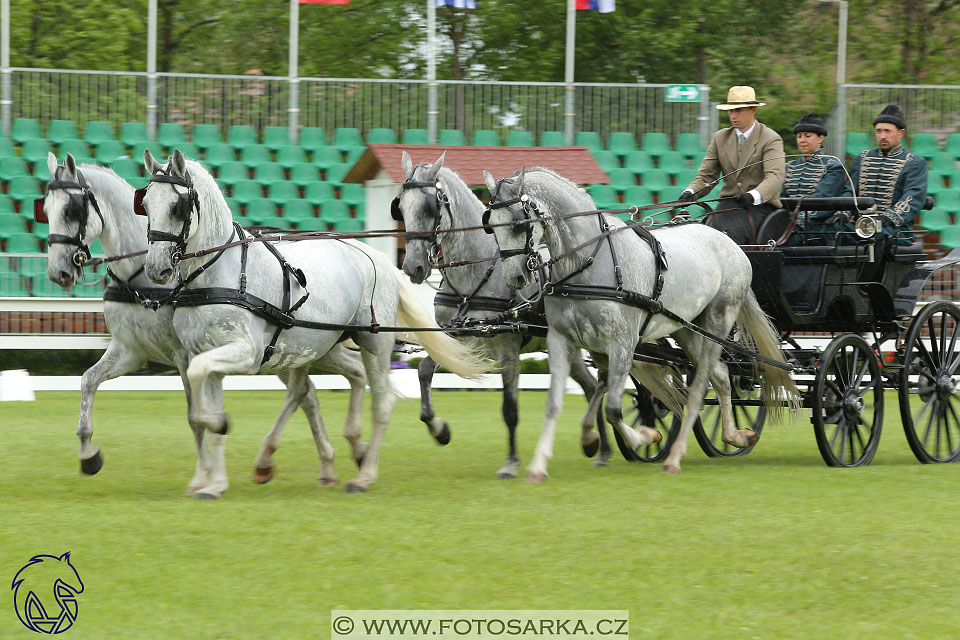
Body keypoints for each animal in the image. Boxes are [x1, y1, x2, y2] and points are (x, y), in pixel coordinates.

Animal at [38, 152, 368, 492]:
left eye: (71, 210)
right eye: (45, 210)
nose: (59, 272)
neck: (142, 279)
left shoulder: (184, 355)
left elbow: (195, 415)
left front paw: (202, 476)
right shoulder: (131, 351)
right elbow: (88, 381)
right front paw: (89, 454)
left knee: (309, 389)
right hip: (312, 348)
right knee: (315, 389)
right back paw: (326, 463)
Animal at [139, 150, 492, 496]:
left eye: (177, 206)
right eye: (145, 204)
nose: (156, 269)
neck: (218, 273)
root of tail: (377, 257)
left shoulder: (246, 352)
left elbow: (203, 392)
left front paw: (217, 430)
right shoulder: (205, 353)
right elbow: (206, 401)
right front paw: (214, 482)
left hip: (374, 342)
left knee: (380, 401)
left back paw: (364, 475)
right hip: (321, 346)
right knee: (335, 381)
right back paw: (346, 449)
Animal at [484, 168, 800, 478]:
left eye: (518, 223)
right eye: (491, 226)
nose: (515, 278)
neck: (588, 262)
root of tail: (731, 244)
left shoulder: (623, 344)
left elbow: (613, 408)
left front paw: (646, 436)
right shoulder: (561, 339)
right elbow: (554, 403)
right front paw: (540, 465)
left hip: (718, 322)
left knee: (699, 388)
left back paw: (675, 457)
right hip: (686, 329)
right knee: (721, 377)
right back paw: (735, 436)